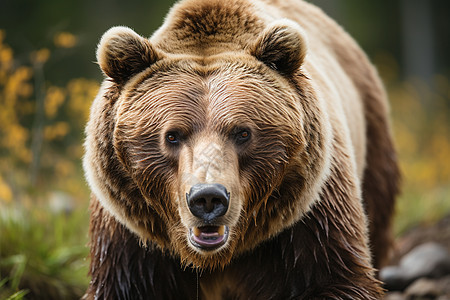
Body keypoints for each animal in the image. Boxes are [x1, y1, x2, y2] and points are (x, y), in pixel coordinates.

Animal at [82, 0, 400, 298]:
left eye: (243, 132)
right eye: (172, 136)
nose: (207, 198)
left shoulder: (312, 213)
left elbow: (337, 278)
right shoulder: (129, 237)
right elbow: (125, 284)